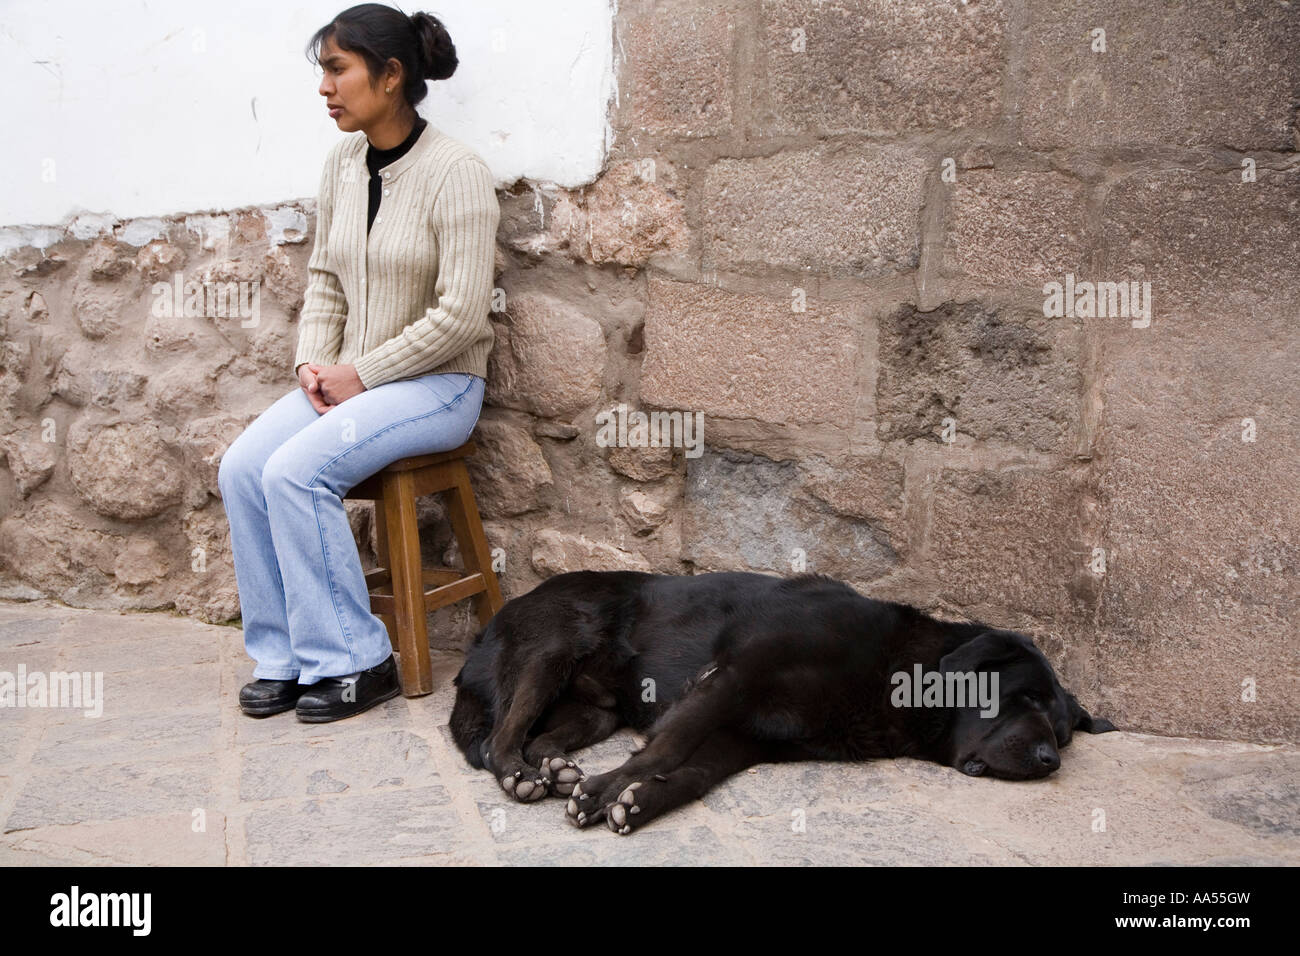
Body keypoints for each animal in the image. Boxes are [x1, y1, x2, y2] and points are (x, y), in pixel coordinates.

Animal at [449, 572, 1118, 832]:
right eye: (1026, 698)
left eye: (1063, 734)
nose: (1049, 761)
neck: (893, 671)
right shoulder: (733, 678)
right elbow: (662, 749)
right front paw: (607, 791)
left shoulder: (746, 739)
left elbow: (689, 774)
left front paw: (636, 803)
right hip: (552, 649)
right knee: (501, 737)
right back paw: (522, 776)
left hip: (596, 710)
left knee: (541, 735)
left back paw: (555, 770)